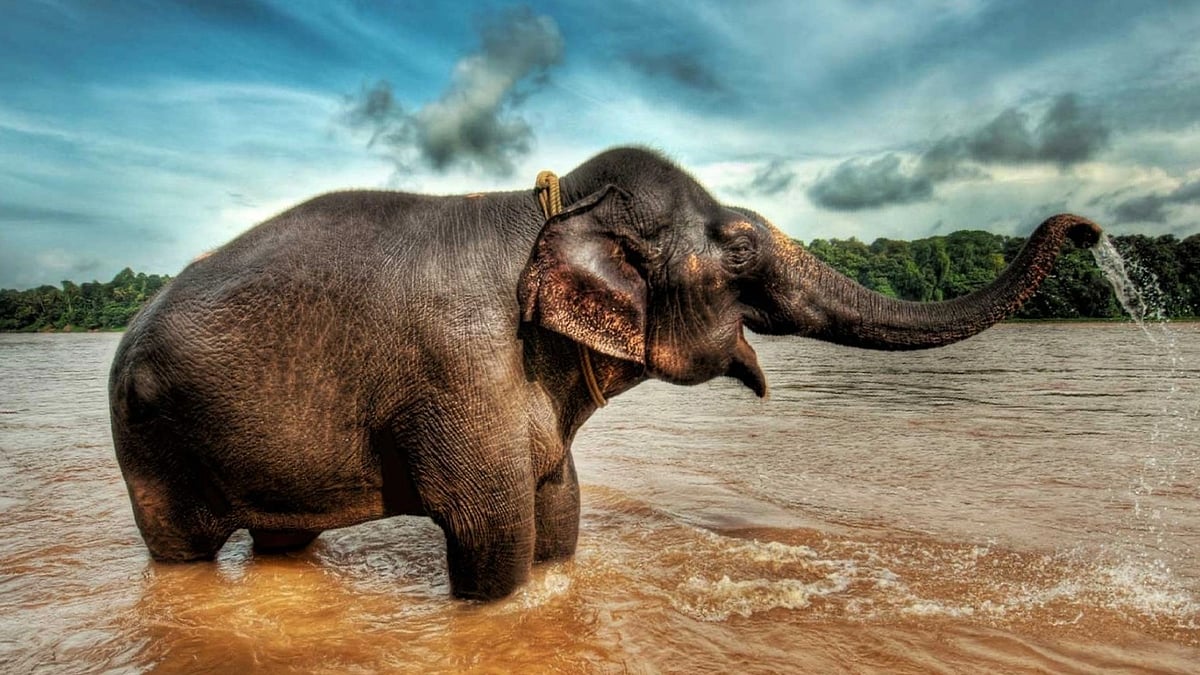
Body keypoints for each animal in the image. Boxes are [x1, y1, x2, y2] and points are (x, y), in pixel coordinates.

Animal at [109, 147, 1101, 601]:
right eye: (740, 246)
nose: (1089, 227)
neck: (546, 209)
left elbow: (559, 520)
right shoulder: (466, 376)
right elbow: (495, 542)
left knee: (283, 540)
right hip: (147, 439)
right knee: (181, 548)